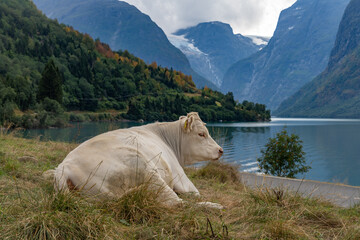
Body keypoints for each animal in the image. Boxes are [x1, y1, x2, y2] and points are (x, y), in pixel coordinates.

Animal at [51, 112, 222, 208]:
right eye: (201, 134)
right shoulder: (181, 177)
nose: (220, 150)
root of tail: (65, 166)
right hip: (144, 167)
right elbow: (195, 193)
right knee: (177, 203)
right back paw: (214, 206)